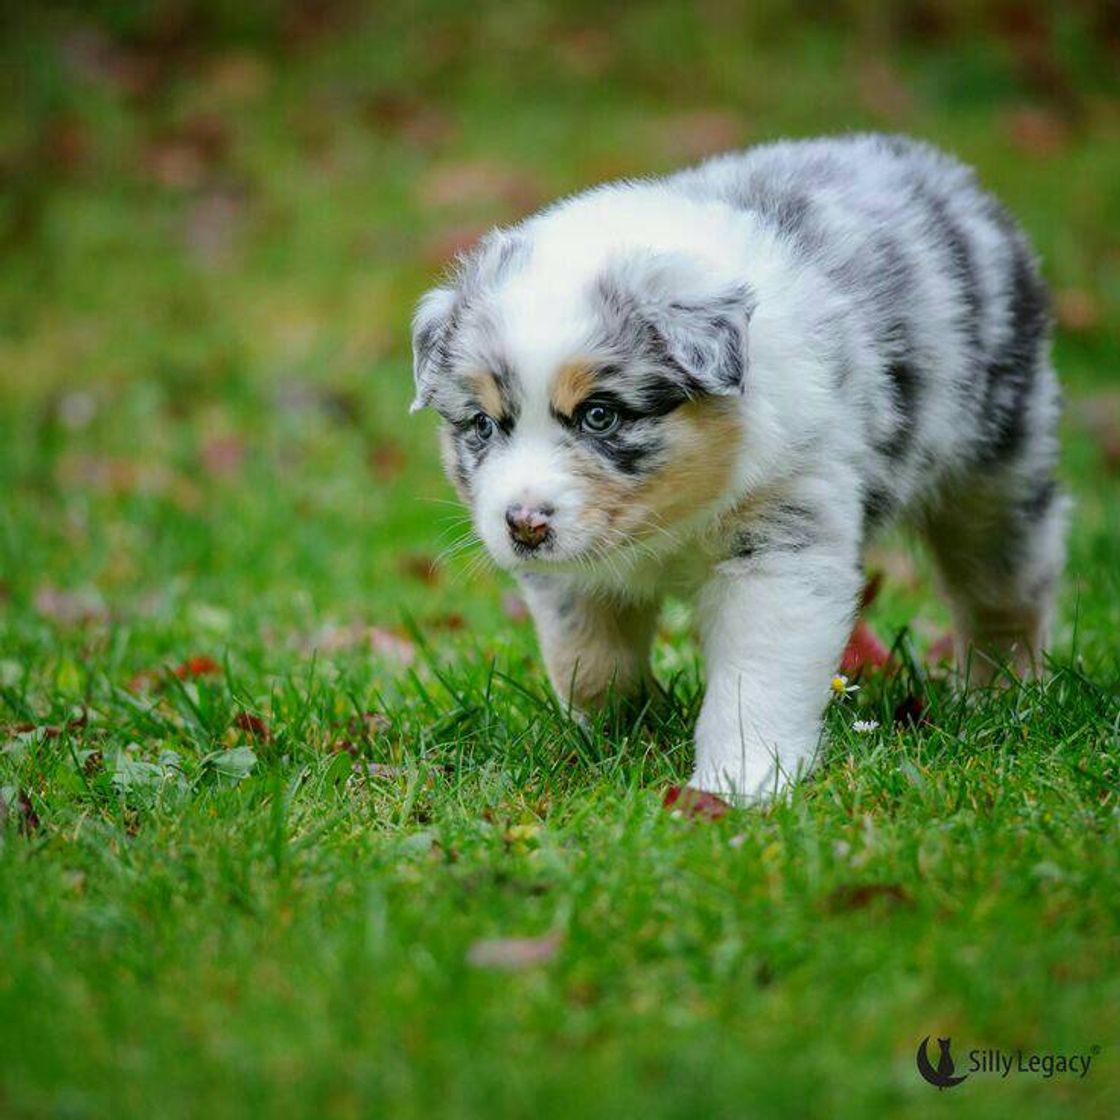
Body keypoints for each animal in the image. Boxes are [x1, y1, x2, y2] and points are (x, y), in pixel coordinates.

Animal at [409, 133, 1066, 806]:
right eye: (483, 425)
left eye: (600, 416)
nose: (524, 526)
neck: (675, 515)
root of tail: (932, 164)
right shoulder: (571, 576)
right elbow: (586, 656)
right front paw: (620, 729)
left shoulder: (780, 544)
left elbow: (757, 678)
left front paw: (739, 785)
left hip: (997, 469)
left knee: (1006, 589)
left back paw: (1002, 692)